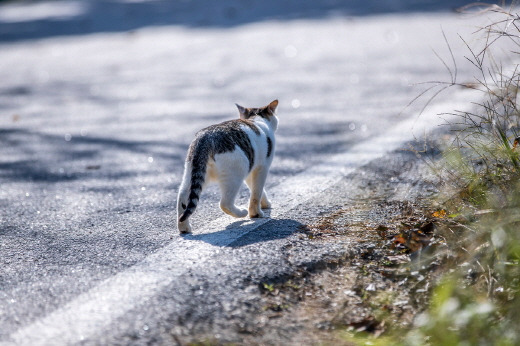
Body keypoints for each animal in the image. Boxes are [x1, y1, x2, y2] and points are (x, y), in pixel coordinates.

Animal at [177, 100, 278, 235]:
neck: (255, 119)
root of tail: (206, 138)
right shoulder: (262, 167)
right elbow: (257, 191)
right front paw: (256, 213)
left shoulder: (251, 168)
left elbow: (256, 189)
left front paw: (265, 203)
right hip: (236, 173)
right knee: (224, 203)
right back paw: (242, 213)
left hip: (193, 173)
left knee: (182, 196)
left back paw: (184, 228)